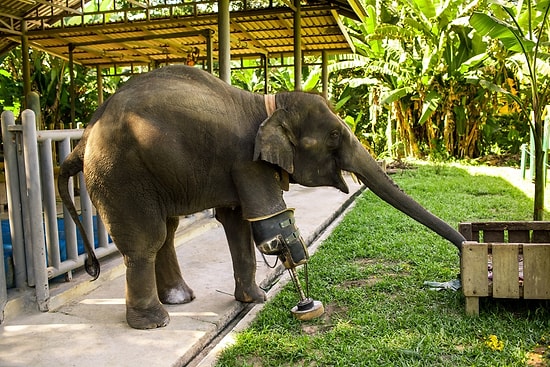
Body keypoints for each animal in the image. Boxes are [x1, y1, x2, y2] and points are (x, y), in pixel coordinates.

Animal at [59, 65, 466, 330]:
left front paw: (255, 300)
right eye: (335, 136)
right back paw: (154, 322)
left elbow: (238, 222)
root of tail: (84, 136)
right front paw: (285, 272)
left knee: (167, 231)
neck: (269, 104)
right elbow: (267, 220)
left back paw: (180, 299)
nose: (463, 258)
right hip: (121, 174)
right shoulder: (247, 161)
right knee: (148, 239)